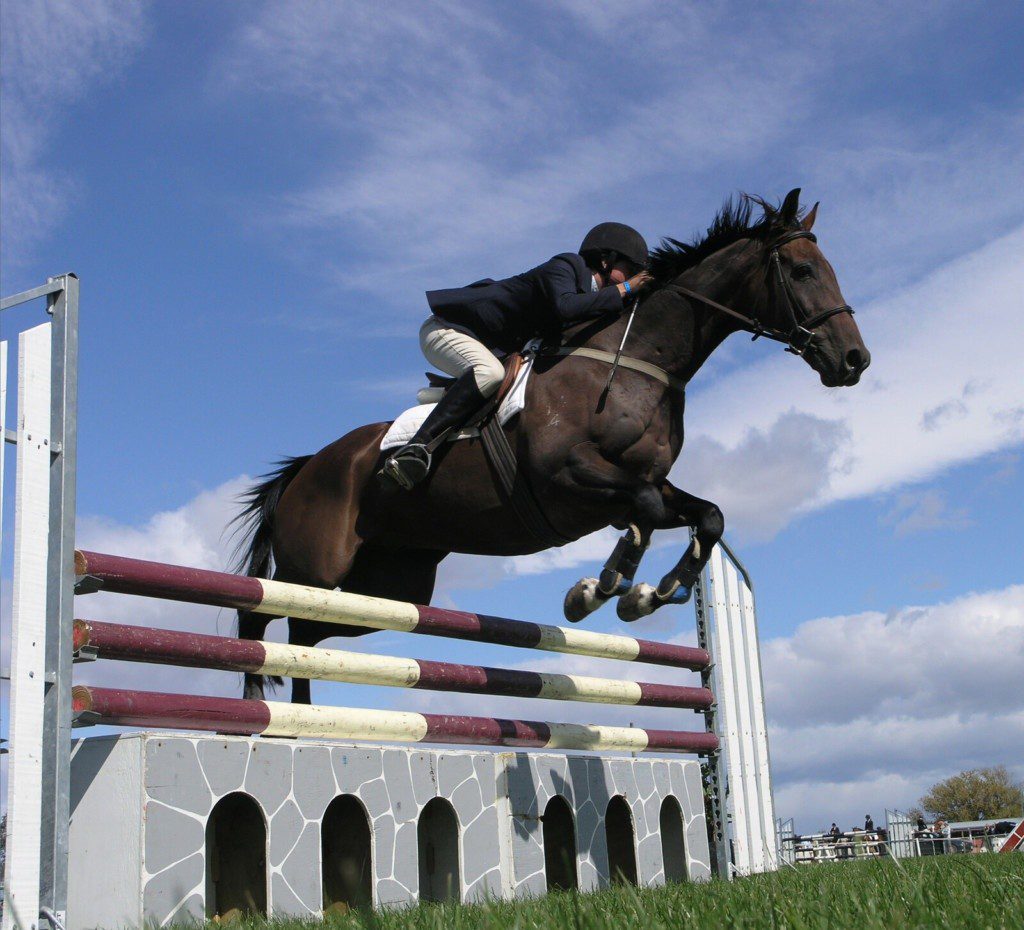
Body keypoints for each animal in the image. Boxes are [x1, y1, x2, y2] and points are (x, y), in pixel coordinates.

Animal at [235, 185, 868, 700]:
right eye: (803, 271)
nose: (854, 360)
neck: (634, 361)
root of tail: (309, 465)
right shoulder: (567, 478)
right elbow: (644, 510)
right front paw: (600, 590)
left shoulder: (637, 483)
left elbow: (703, 515)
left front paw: (648, 594)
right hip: (315, 566)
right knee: (260, 612)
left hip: (387, 588)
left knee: (306, 634)